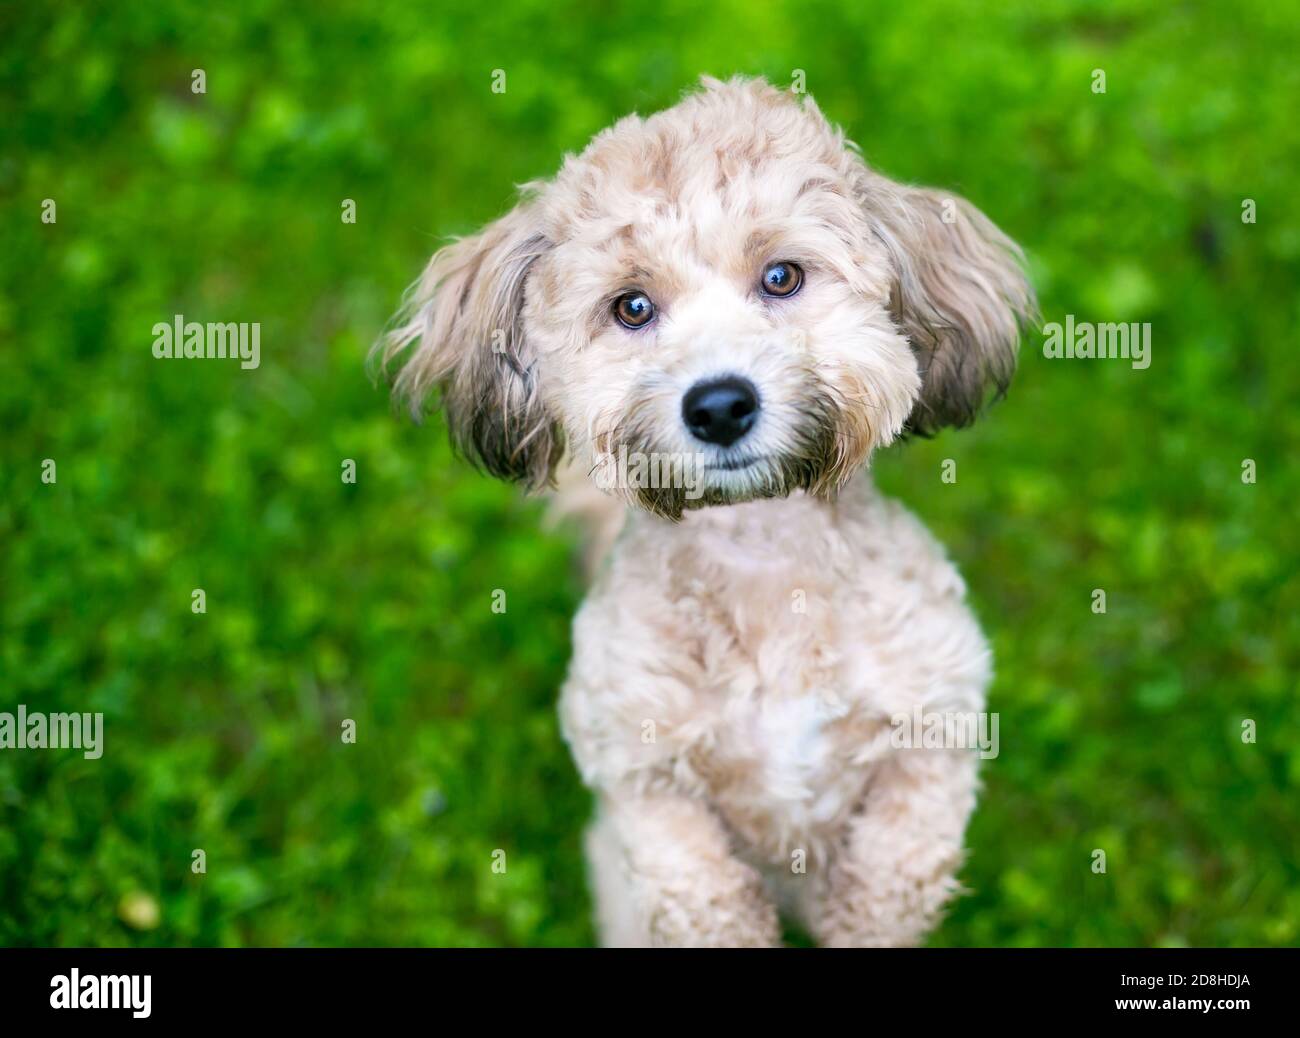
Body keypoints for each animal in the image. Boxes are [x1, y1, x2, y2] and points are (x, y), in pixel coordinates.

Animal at [377, 75, 1034, 952]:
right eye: (631, 307)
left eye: (783, 277)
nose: (719, 406)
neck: (762, 563)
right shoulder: (639, 778)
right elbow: (704, 889)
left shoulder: (938, 725)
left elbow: (894, 868)